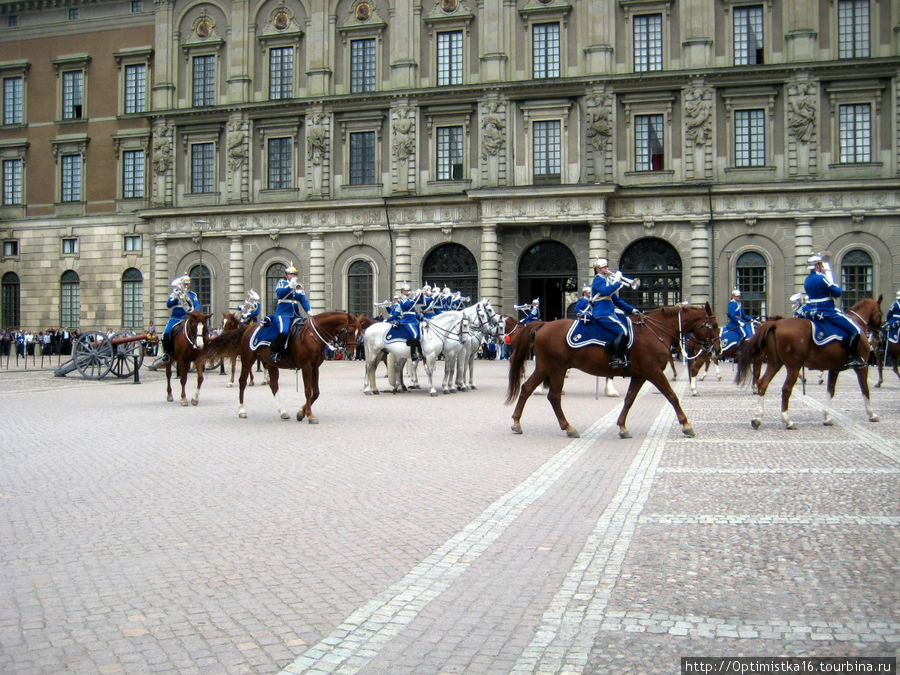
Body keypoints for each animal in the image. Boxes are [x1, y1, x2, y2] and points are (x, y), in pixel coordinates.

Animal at [506, 304, 716, 440]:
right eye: (713, 326)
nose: (716, 350)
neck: (655, 331)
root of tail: (544, 324)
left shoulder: (640, 375)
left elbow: (629, 399)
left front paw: (622, 427)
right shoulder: (654, 372)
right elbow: (672, 396)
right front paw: (686, 425)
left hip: (545, 367)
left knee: (526, 388)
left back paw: (516, 422)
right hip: (557, 368)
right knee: (554, 397)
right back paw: (568, 427)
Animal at [736, 296, 884, 428]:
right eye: (880, 313)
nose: (880, 335)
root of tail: (776, 324)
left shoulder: (834, 369)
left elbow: (830, 390)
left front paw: (827, 417)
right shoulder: (862, 367)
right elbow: (865, 389)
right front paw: (872, 414)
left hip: (775, 363)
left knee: (763, 383)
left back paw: (757, 418)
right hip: (793, 367)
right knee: (786, 389)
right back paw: (787, 421)